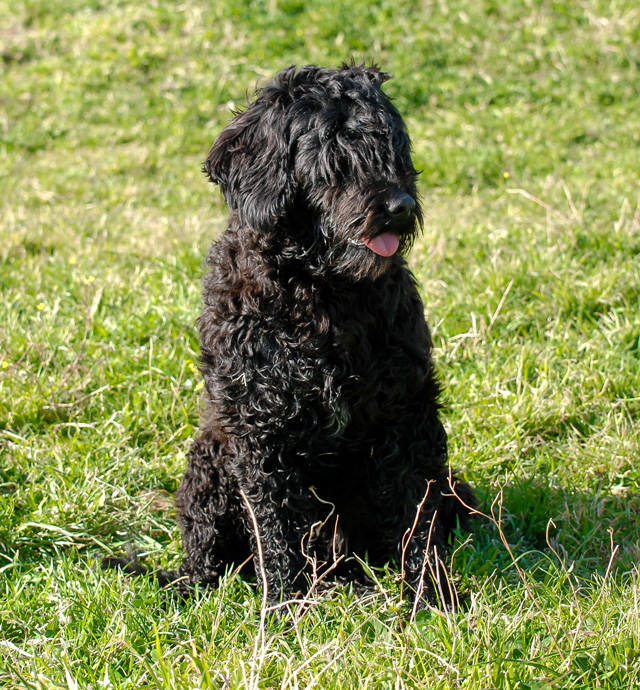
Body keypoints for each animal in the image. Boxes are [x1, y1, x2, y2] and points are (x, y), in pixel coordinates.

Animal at [106, 63, 476, 608]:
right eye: (335, 153)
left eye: (393, 146)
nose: (400, 205)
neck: (323, 292)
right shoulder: (261, 427)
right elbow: (276, 526)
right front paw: (285, 606)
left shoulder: (406, 413)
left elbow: (415, 513)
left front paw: (430, 594)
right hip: (208, 466)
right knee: (209, 561)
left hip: (451, 488)